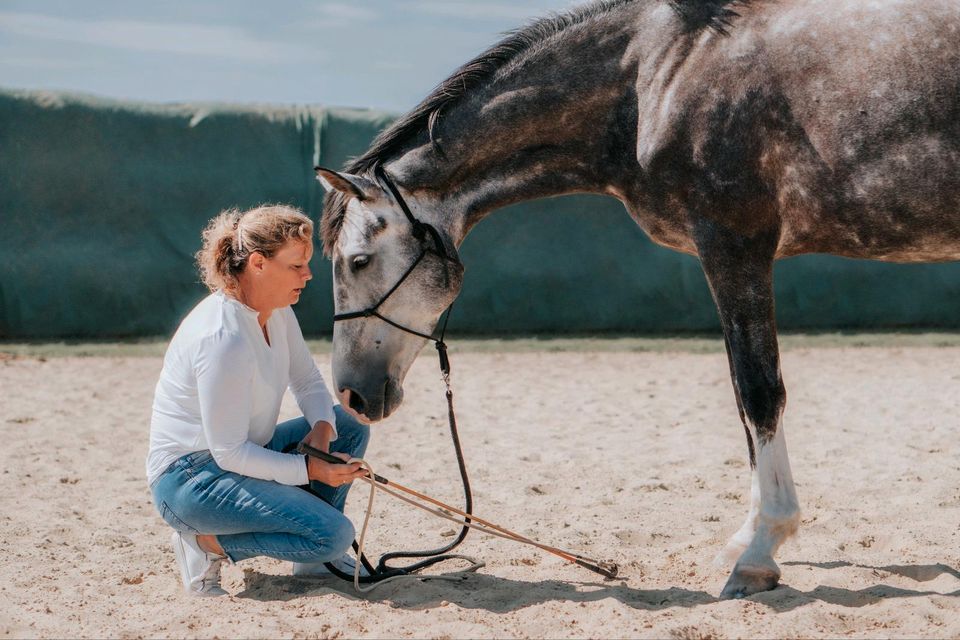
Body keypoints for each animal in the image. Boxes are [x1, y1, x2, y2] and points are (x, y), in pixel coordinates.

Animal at [316, 1, 960, 600]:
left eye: (357, 262)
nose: (349, 394)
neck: (657, 77)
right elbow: (743, 400)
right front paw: (746, 538)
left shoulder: (734, 246)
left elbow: (758, 393)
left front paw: (759, 552)